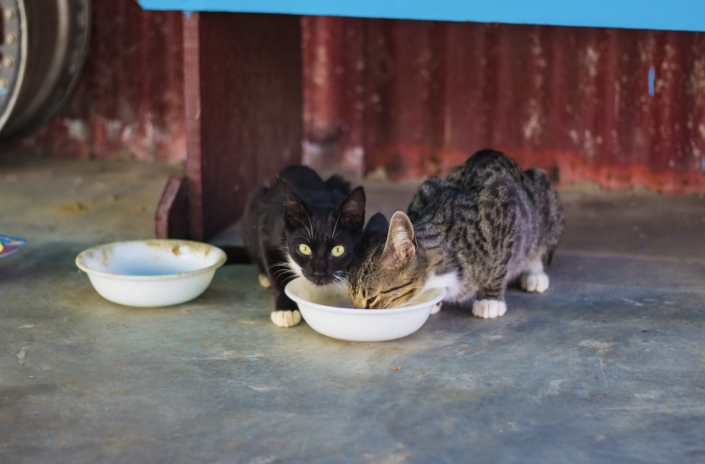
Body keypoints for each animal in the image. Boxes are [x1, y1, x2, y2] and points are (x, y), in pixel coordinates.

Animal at [242, 165, 366, 328]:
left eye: (338, 250)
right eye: (304, 248)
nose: (319, 274)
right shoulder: (268, 233)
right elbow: (277, 272)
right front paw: (285, 310)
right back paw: (264, 276)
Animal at [346, 150, 560, 318]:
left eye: (372, 299)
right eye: (351, 297)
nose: (357, 313)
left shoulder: (502, 203)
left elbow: (499, 265)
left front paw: (490, 299)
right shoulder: (425, 189)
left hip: (544, 201)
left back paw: (534, 272)